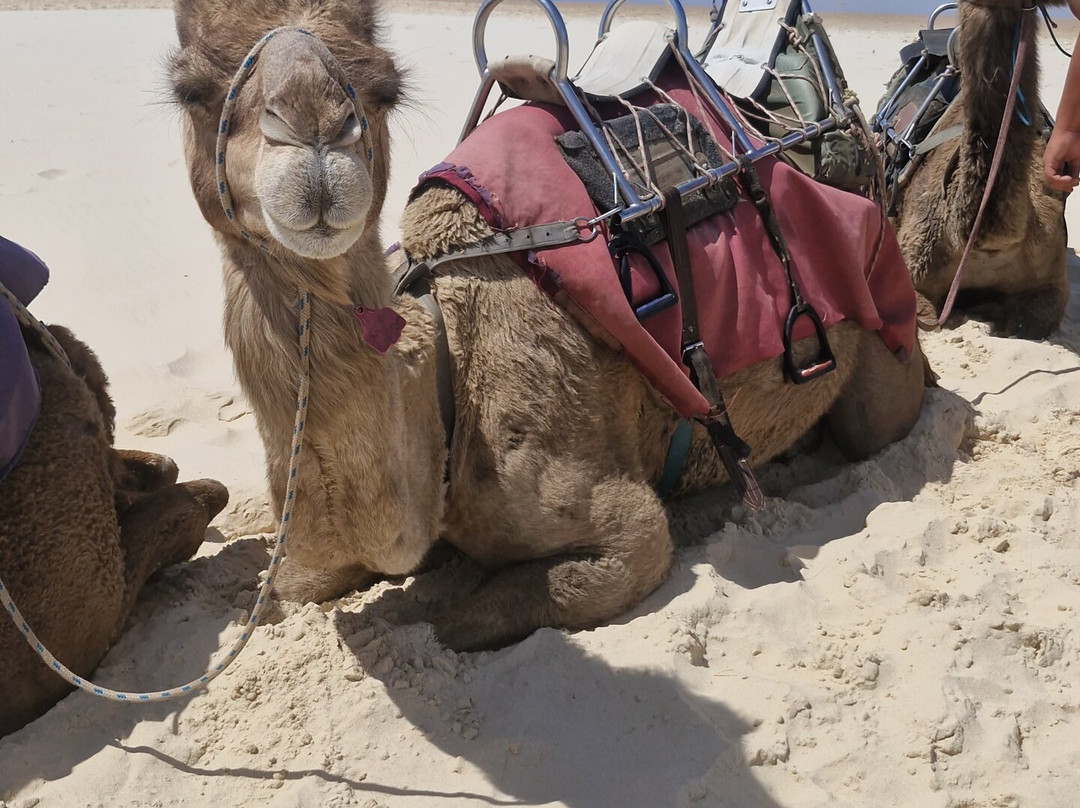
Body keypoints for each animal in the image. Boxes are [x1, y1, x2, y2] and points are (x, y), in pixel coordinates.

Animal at [170, 0, 927, 651]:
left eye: (384, 88)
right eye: (191, 89)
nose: (315, 135)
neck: (445, 383)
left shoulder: (618, 523)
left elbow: (462, 620)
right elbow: (290, 588)